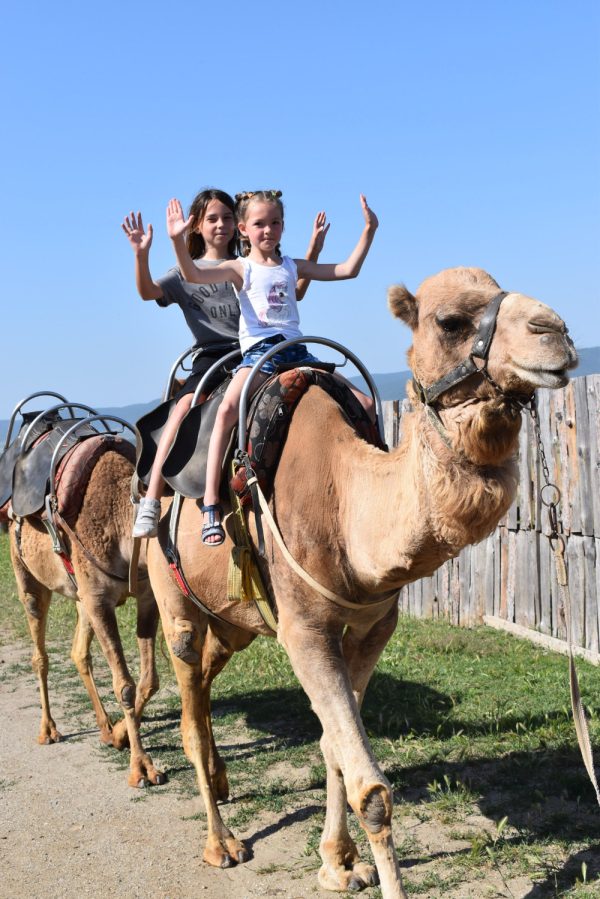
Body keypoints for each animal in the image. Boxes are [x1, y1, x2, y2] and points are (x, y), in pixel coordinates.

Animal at [8, 445, 165, 788]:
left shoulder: (146, 596)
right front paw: (142, 768)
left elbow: (148, 680)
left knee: (79, 652)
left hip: (81, 597)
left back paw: (105, 726)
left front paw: (119, 735)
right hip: (26, 575)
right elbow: (125, 685)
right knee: (40, 654)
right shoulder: (98, 598)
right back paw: (48, 729)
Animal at [146, 266, 577, 898]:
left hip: (234, 618)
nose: (556, 331)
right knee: (191, 699)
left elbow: (333, 748)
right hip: (173, 592)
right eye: (450, 321)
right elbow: (370, 788)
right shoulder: (305, 630)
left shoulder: (375, 623)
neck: (346, 503)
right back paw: (220, 842)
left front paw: (338, 862)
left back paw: (222, 784)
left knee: (201, 687)